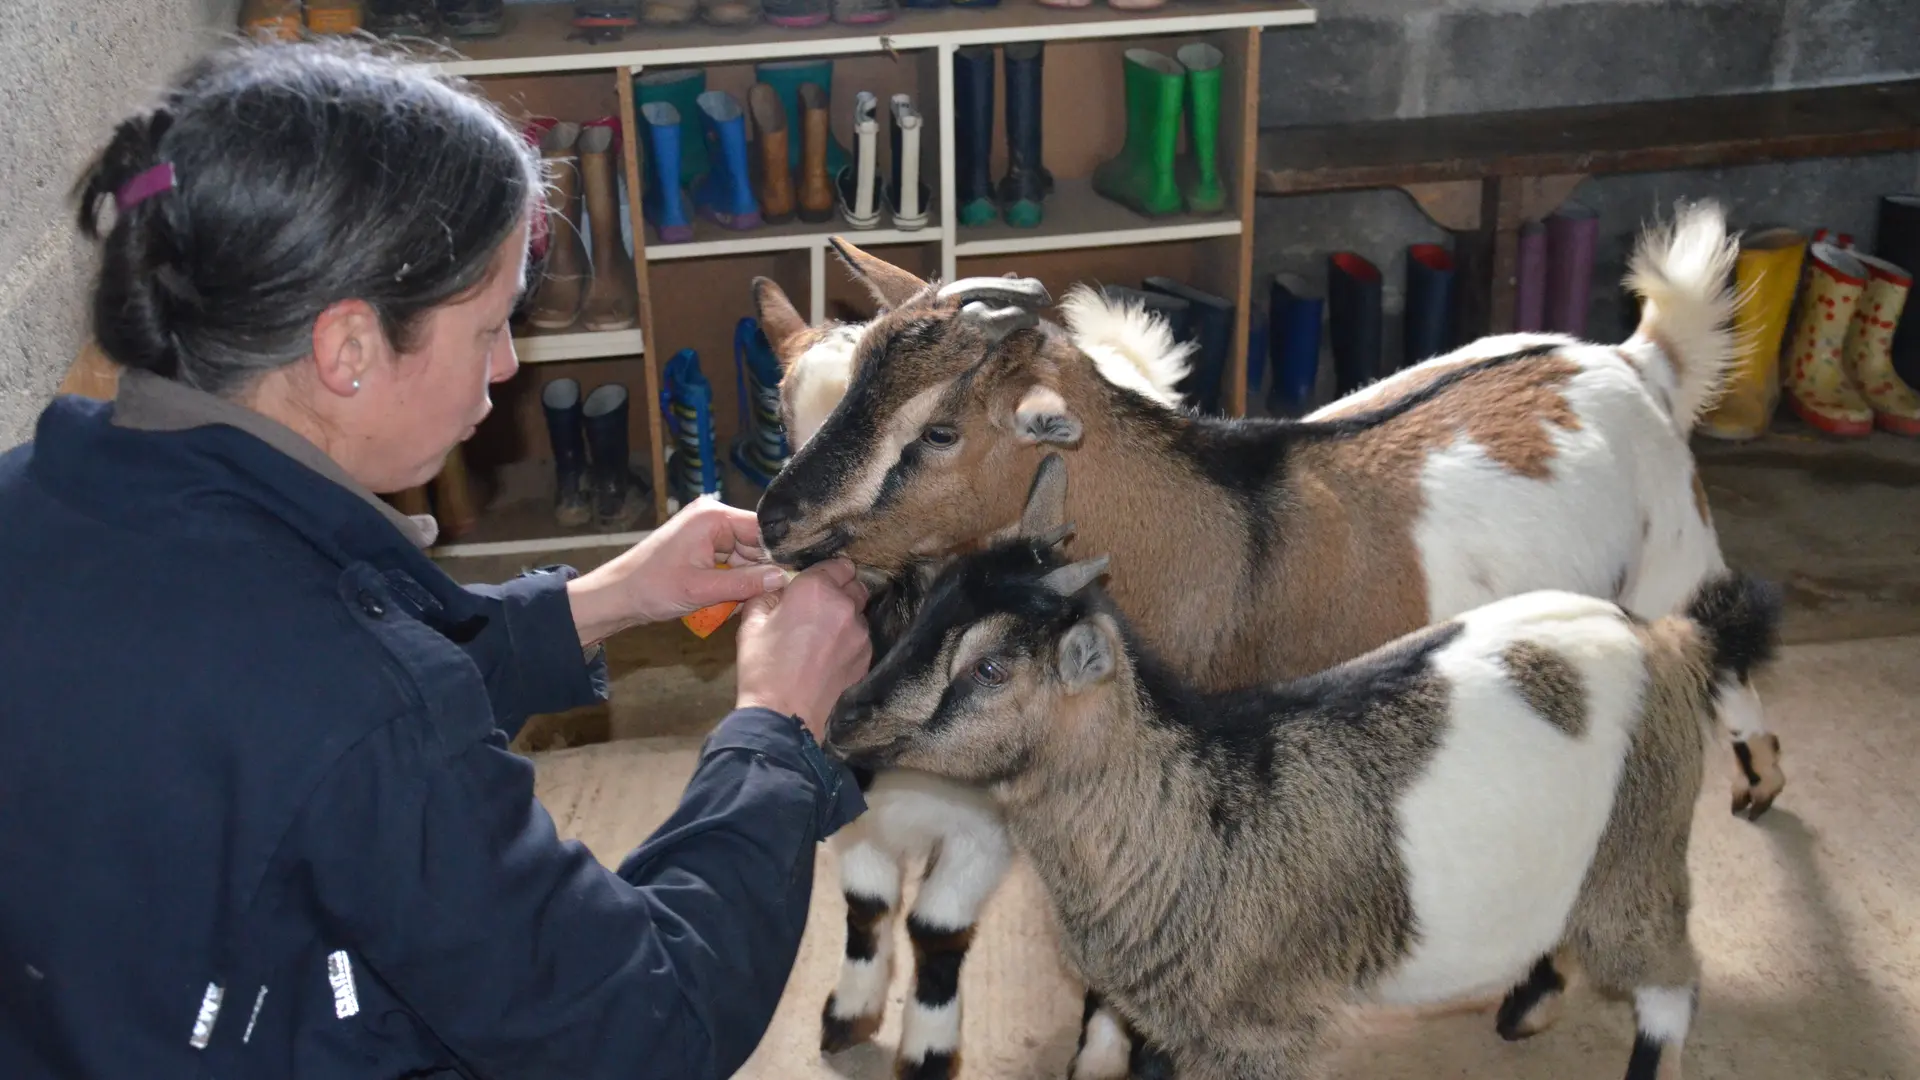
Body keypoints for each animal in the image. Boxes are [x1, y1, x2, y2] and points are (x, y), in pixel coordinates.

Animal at [821, 451, 1781, 1076]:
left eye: (988, 667)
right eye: (919, 606)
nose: (843, 714)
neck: (1187, 810)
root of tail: (1666, 639)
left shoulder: (1261, 1030)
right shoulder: (1166, 1016)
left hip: (1637, 859)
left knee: (1670, 984)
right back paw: (1526, 1006)